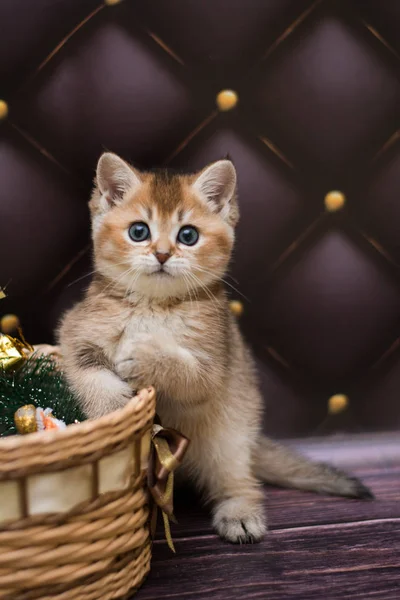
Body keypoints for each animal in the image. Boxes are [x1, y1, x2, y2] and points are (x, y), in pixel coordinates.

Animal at [57, 151, 374, 544]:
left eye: (188, 235)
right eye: (139, 231)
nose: (162, 254)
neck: (155, 305)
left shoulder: (214, 364)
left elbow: (187, 373)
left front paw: (146, 355)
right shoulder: (74, 330)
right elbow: (87, 370)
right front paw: (111, 407)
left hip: (229, 440)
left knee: (241, 482)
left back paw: (240, 514)